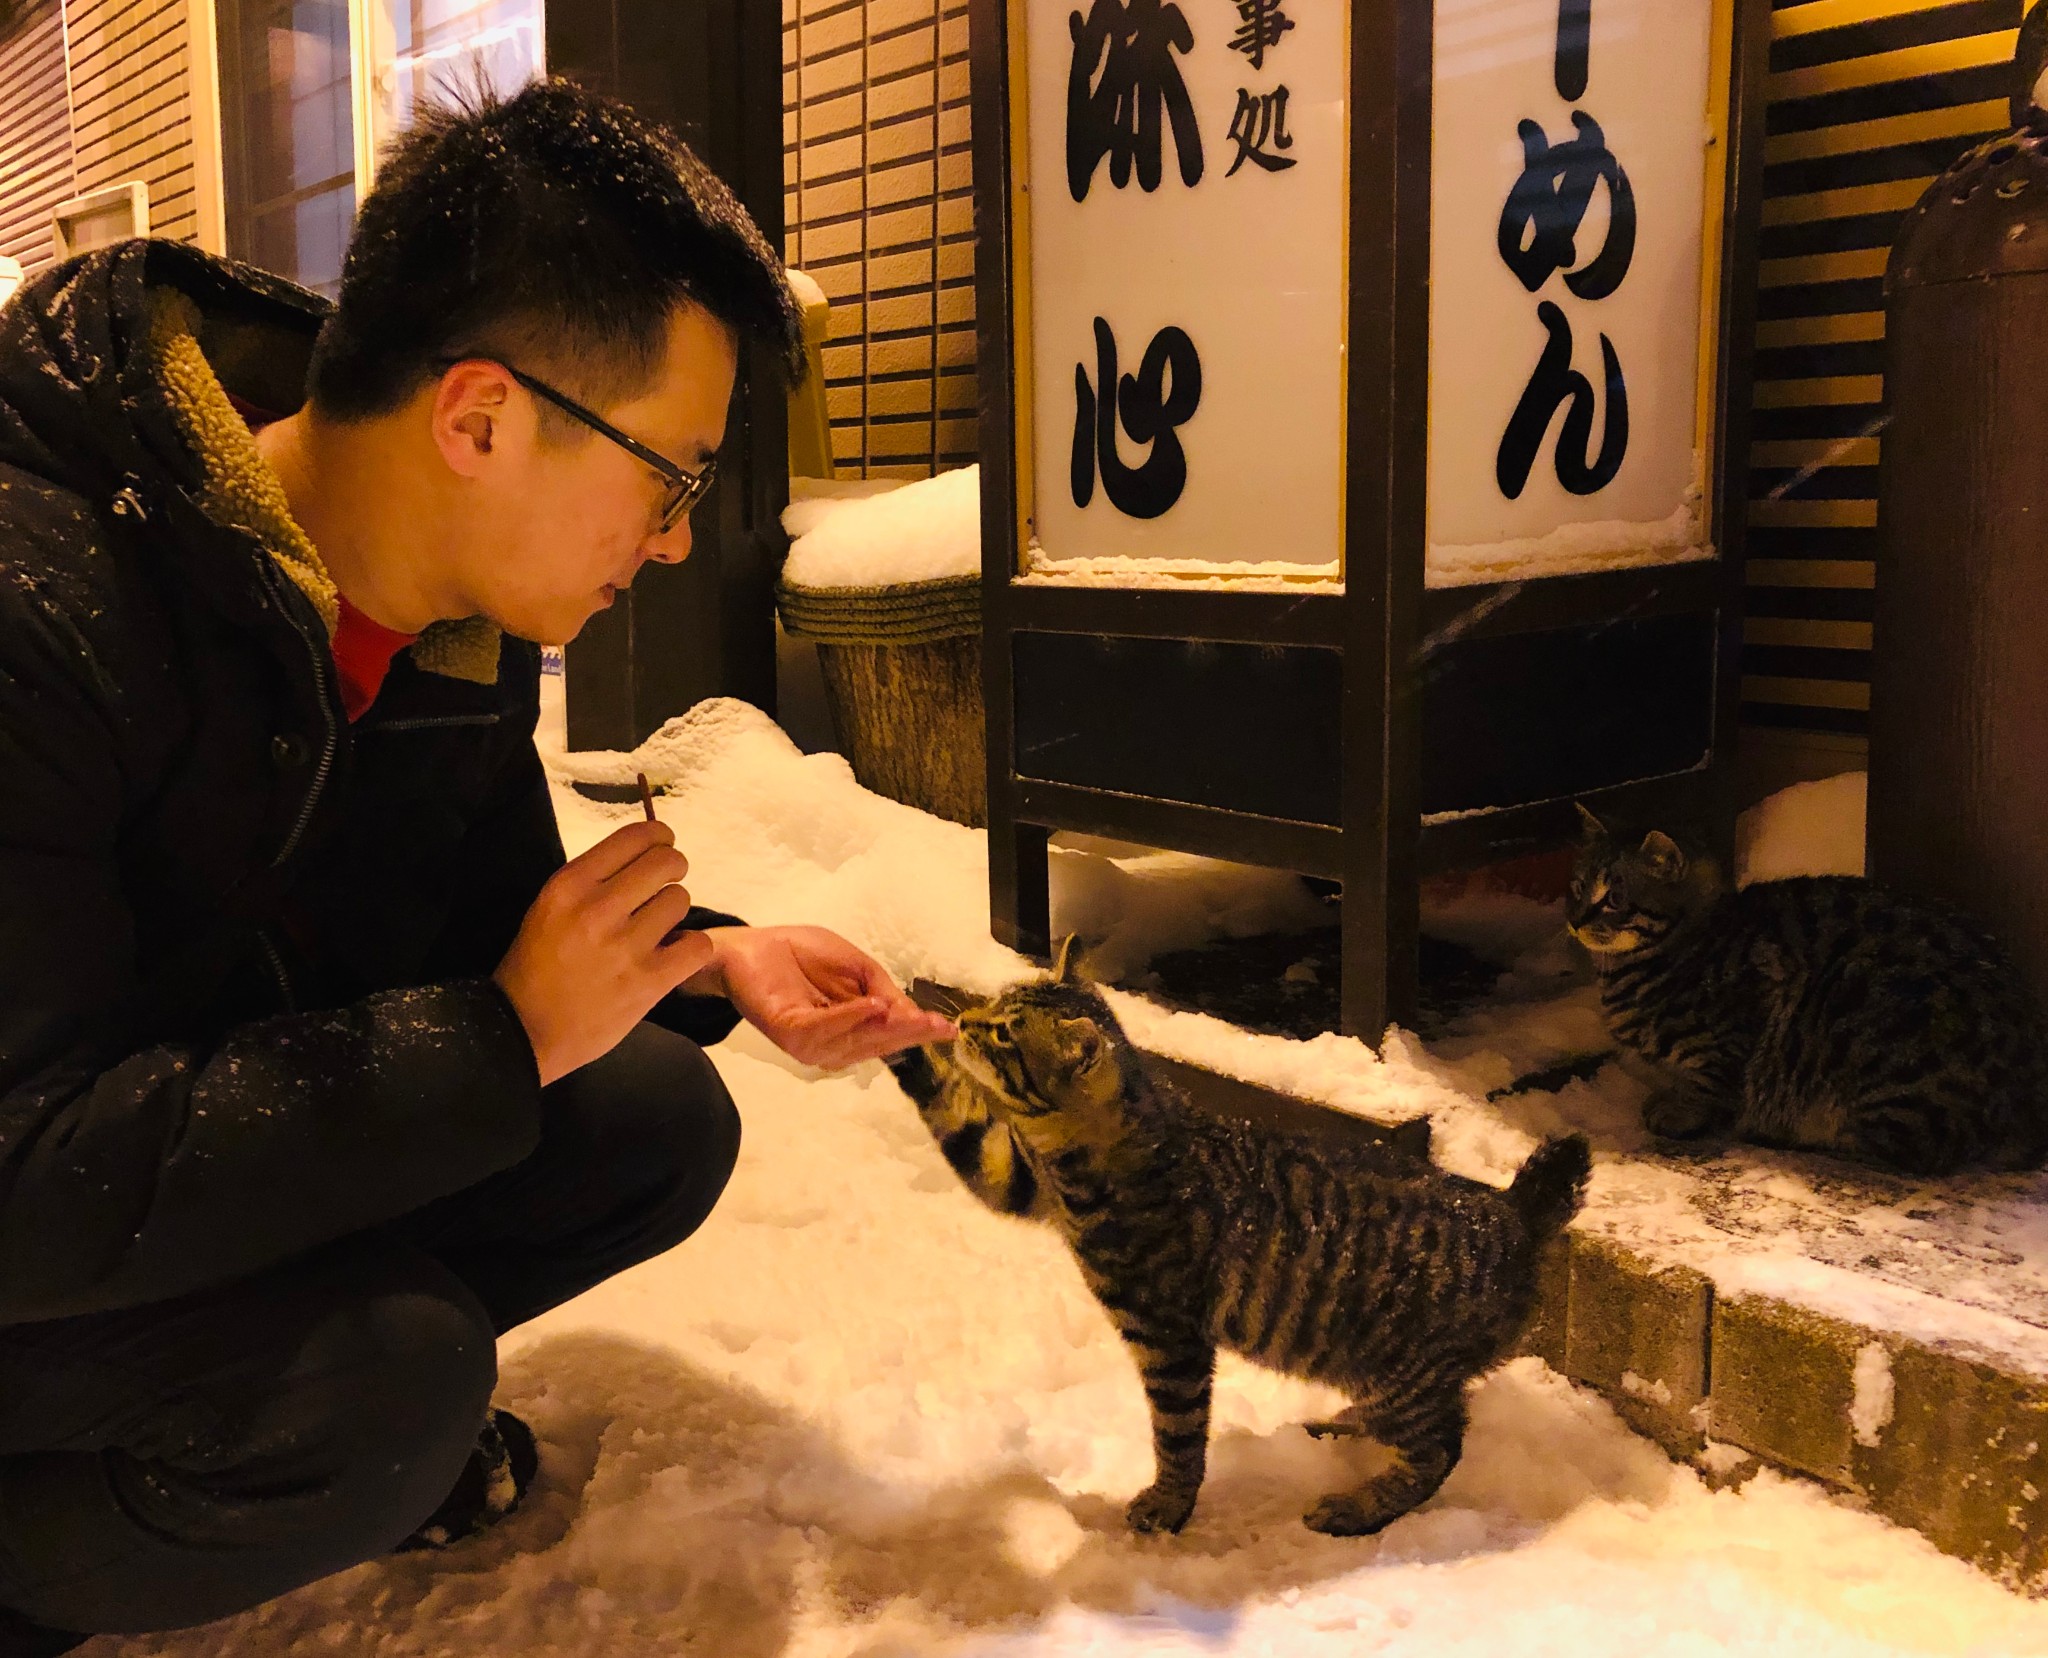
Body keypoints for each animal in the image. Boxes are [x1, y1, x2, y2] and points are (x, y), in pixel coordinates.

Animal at [888, 941, 1589, 1539]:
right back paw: (1343, 1427)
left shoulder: (1168, 1339)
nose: (964, 1018)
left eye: (1005, 1032)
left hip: (1406, 1379)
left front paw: (1168, 1505)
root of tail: (1512, 1210)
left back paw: (1358, 1508)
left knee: (1439, 1450)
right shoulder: (1013, 1175)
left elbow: (1178, 1437)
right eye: (992, 1005)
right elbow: (953, 1110)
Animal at [1564, 802, 2048, 1179]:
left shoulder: (1729, 1043)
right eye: (1577, 887)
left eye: (1614, 900)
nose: (1574, 920)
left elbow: (1709, 1086)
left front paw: (1679, 1110)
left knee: (1903, 1153)